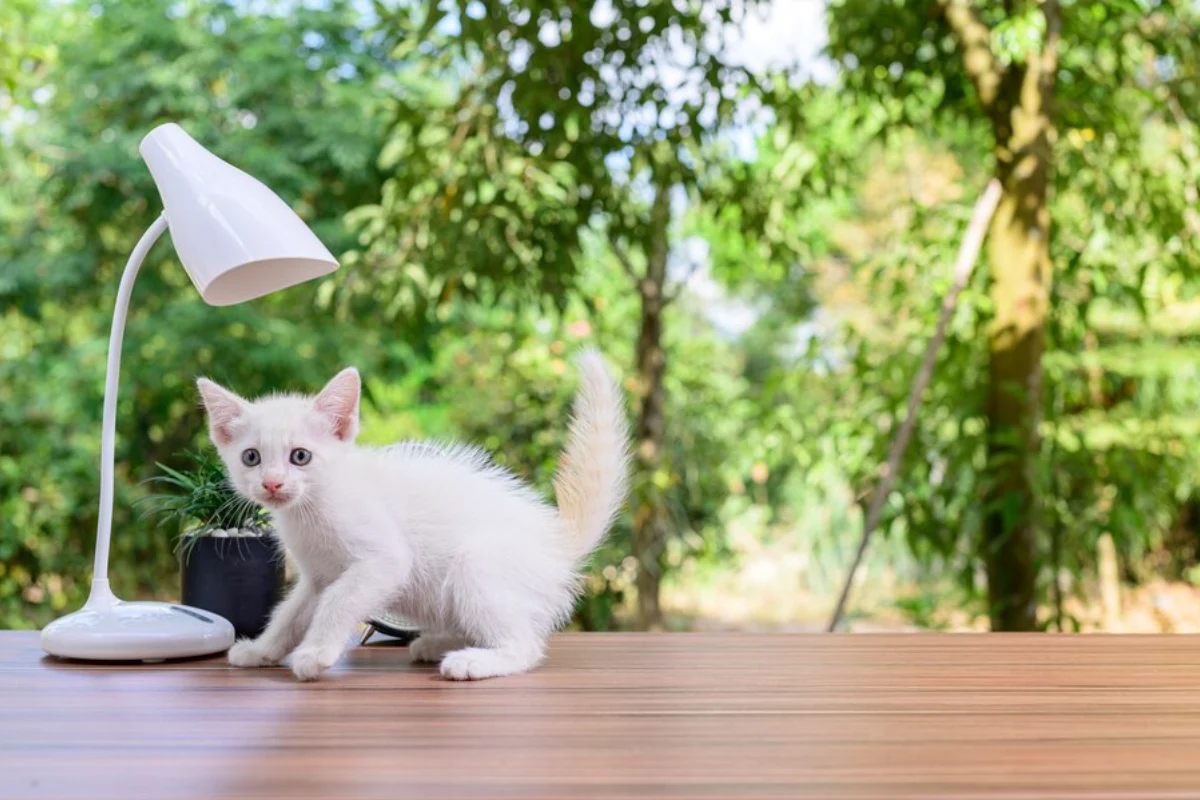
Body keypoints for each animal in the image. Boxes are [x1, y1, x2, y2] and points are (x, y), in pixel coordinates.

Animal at [196, 352, 628, 681]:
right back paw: (437, 643)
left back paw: (473, 661)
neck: (312, 508)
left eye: (300, 456)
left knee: (526, 644)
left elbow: (338, 601)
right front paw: (262, 650)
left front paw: (315, 654)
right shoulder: (317, 575)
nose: (271, 483)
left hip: (477, 566)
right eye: (251, 457)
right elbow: (290, 613)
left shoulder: (384, 559)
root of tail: (556, 540)